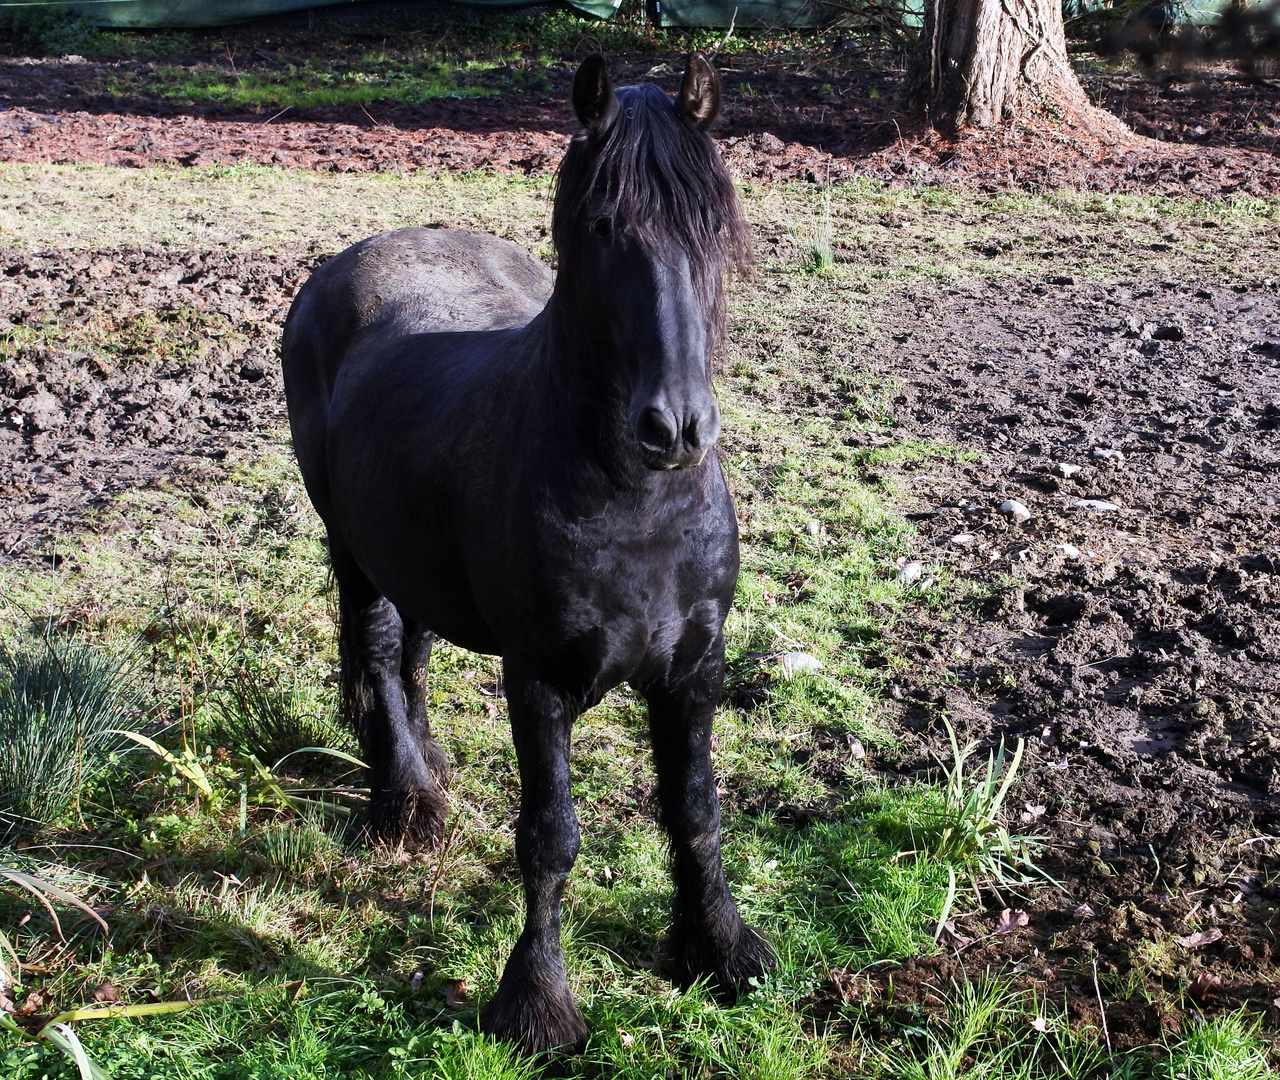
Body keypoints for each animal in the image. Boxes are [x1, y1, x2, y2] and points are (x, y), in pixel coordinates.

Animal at [279, 52, 768, 1054]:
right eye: (603, 226)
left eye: (713, 221)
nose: (676, 429)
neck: (634, 504)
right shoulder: (538, 684)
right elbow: (550, 838)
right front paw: (538, 1003)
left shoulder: (694, 673)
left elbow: (696, 814)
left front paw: (718, 948)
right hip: (351, 548)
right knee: (378, 653)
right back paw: (407, 805)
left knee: (413, 656)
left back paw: (428, 768)